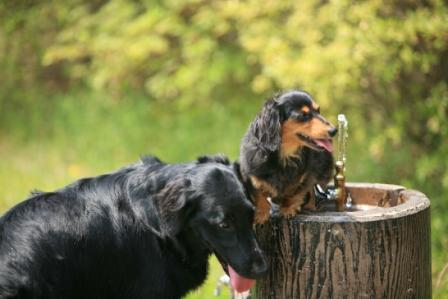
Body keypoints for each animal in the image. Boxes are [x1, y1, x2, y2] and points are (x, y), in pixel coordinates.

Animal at [240, 90, 334, 224]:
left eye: (318, 110)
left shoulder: (306, 176)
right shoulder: (250, 175)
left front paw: (288, 209)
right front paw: (261, 214)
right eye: (303, 115)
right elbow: (260, 196)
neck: (284, 155)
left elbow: (296, 193)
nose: (334, 130)